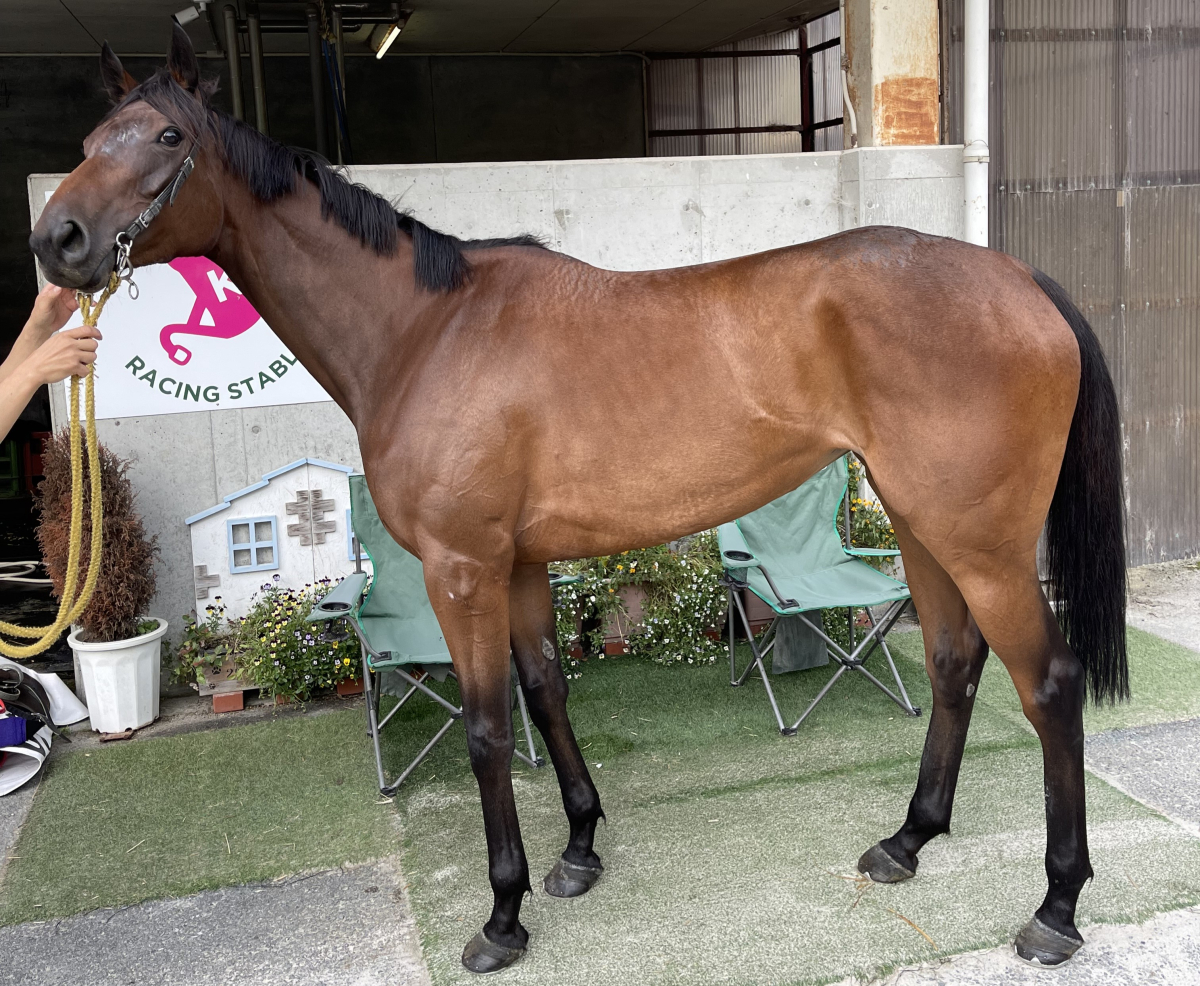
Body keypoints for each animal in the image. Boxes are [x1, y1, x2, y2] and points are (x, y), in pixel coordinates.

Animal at [31, 26, 1126, 974]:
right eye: (85, 145)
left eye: (168, 138)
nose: (57, 240)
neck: (424, 330)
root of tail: (1020, 278)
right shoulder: (516, 563)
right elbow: (546, 689)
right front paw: (578, 851)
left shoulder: (462, 568)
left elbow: (485, 727)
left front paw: (501, 916)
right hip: (921, 522)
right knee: (952, 661)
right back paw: (907, 840)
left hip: (980, 541)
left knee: (1049, 682)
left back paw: (1056, 905)